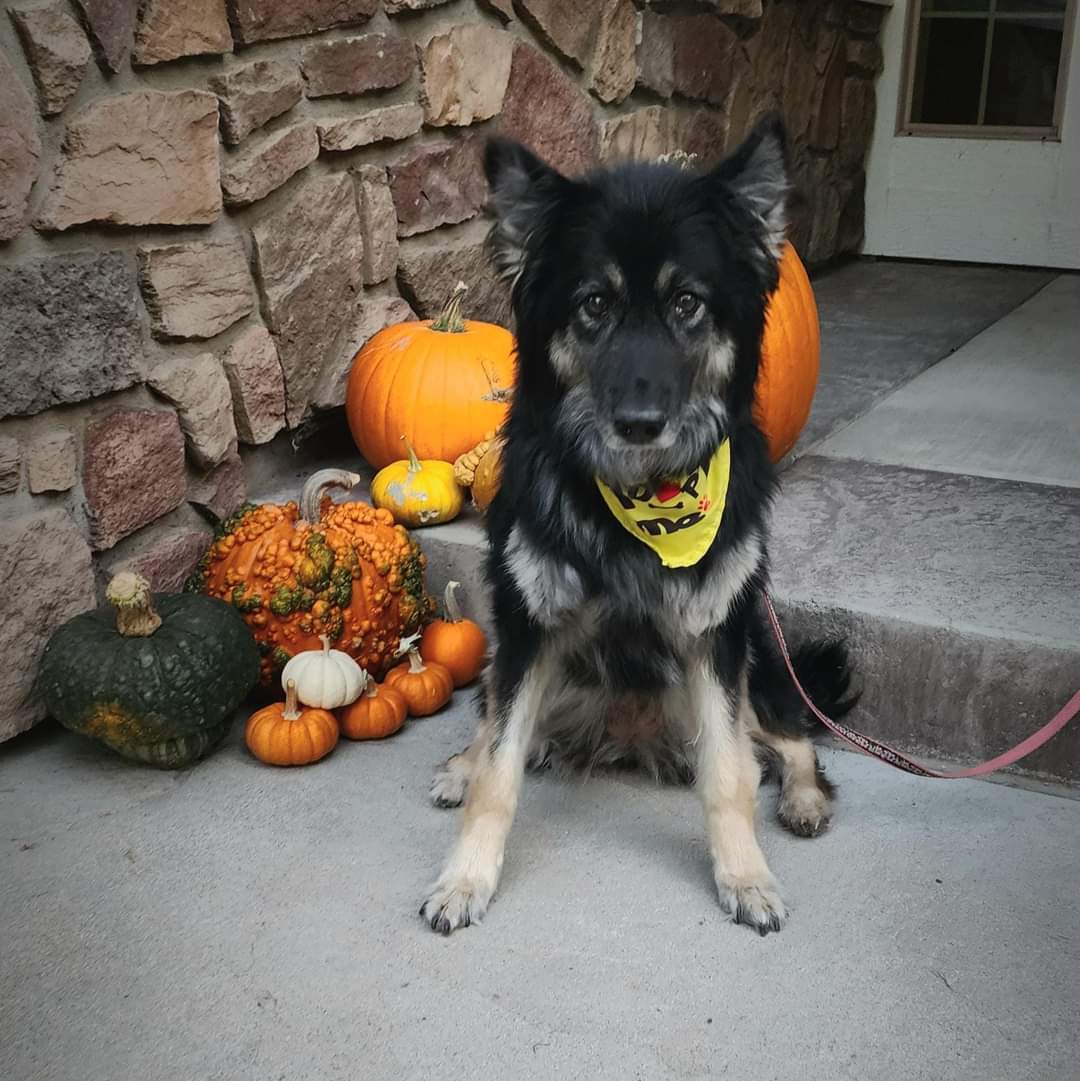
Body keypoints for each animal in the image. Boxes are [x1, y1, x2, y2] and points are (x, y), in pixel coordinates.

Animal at [417, 114, 856, 933]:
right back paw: (461, 765)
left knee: (789, 740)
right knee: (491, 720)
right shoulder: (526, 626)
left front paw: (746, 876)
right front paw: (465, 877)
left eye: (687, 303)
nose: (640, 423)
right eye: (594, 303)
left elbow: (729, 775)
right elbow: (498, 769)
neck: (639, 502)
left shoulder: (718, 634)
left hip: (758, 657)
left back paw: (805, 800)